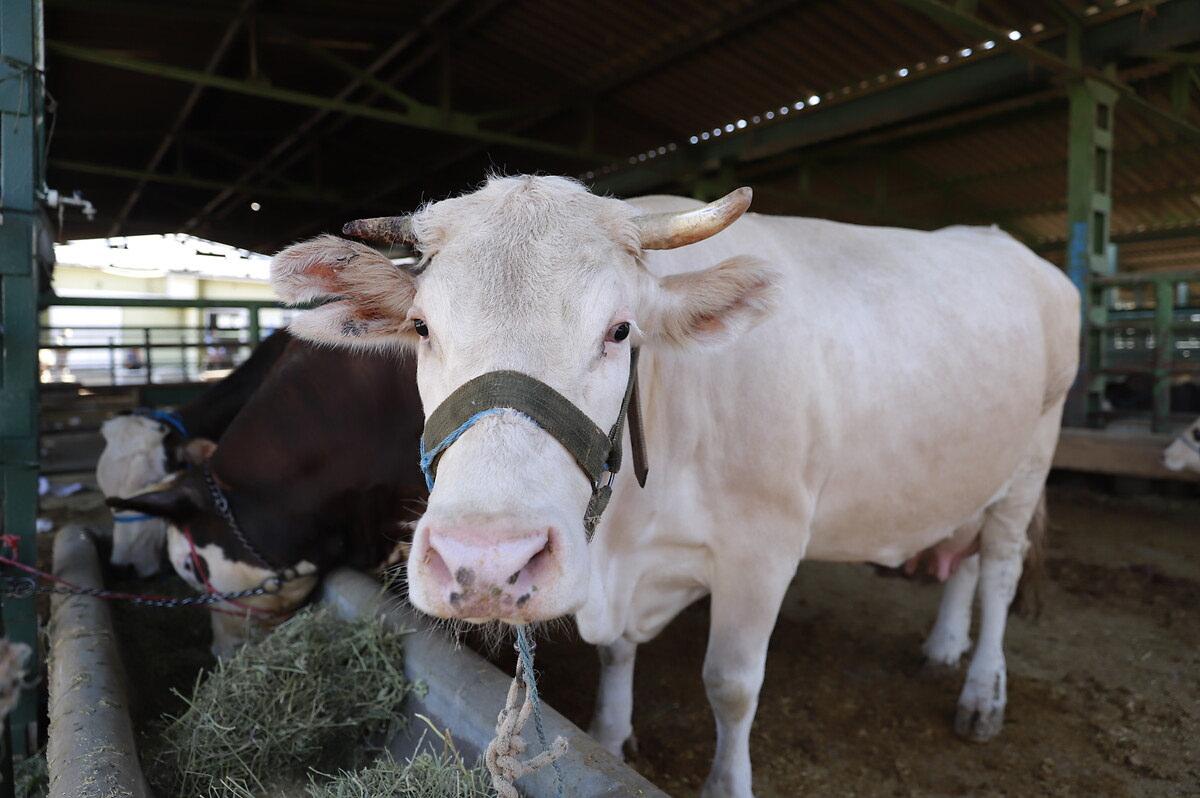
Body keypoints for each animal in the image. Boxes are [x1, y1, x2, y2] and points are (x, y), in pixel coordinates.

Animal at [270, 176, 1080, 796]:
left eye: (621, 330)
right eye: (421, 327)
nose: (487, 560)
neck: (628, 536)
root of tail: (1010, 246)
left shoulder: (764, 548)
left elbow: (731, 683)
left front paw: (726, 784)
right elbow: (615, 654)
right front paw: (609, 733)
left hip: (1031, 459)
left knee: (998, 570)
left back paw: (981, 691)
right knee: (964, 556)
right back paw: (943, 646)